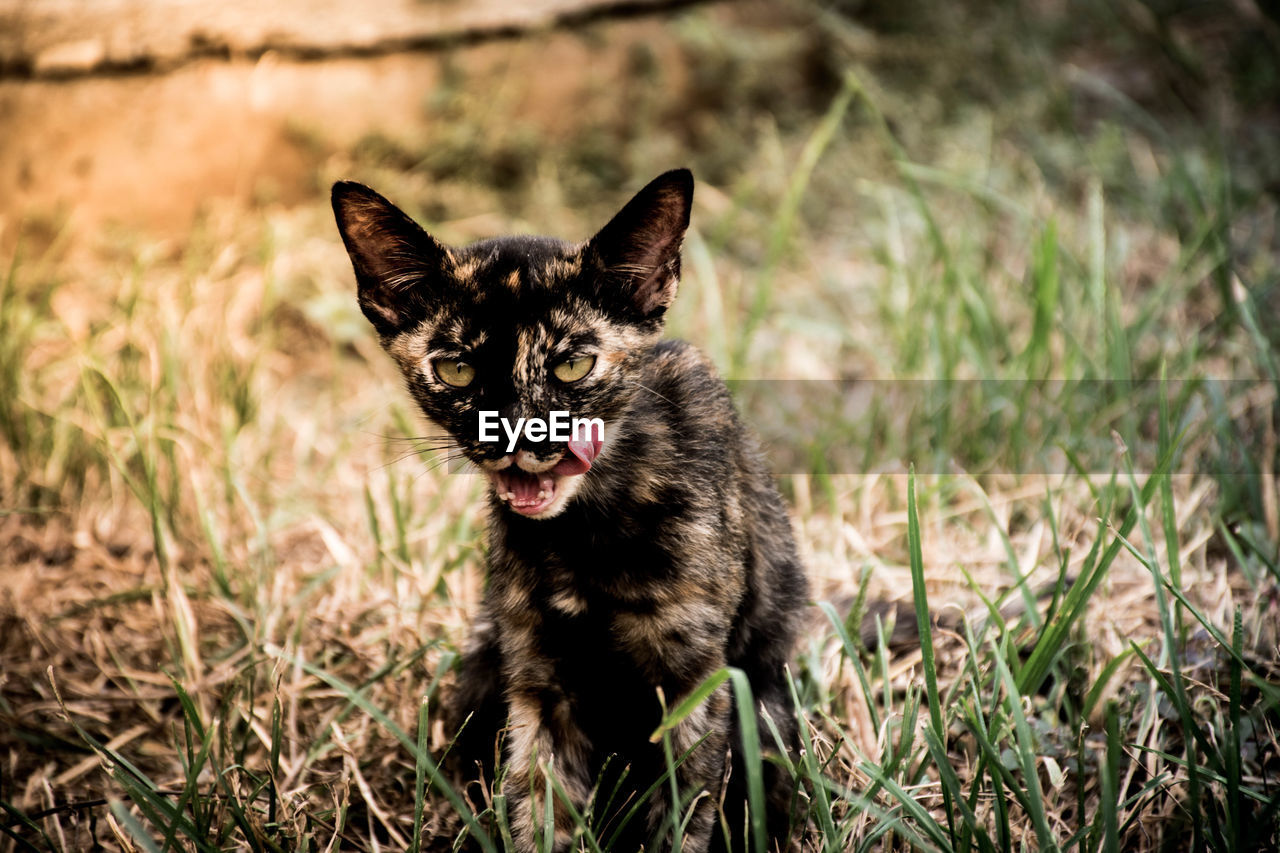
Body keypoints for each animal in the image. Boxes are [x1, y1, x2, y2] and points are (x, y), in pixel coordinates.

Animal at [332, 169, 808, 845]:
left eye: (572, 365)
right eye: (456, 371)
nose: (514, 437)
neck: (586, 533)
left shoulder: (693, 684)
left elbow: (682, 820)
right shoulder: (539, 683)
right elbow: (540, 809)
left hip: (765, 710)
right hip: (483, 668)